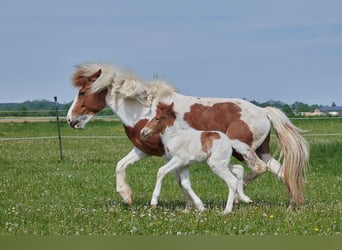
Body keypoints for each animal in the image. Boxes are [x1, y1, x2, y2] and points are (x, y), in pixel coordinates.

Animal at [67, 63, 310, 209]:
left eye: (83, 93)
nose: (70, 120)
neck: (145, 111)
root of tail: (264, 111)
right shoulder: (144, 149)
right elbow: (121, 165)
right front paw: (127, 196)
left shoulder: (171, 155)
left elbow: (178, 179)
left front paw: (190, 205)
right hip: (261, 150)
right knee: (281, 171)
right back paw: (293, 204)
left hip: (242, 148)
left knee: (258, 168)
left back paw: (241, 197)